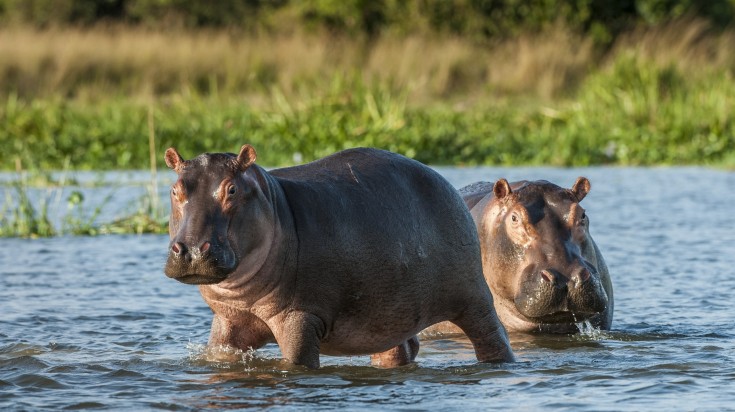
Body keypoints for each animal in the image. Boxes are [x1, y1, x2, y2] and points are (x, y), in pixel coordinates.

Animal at [164, 144, 516, 366]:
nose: (191, 250)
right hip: (388, 314)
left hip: (473, 298)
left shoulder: (300, 317)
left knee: (492, 336)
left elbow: (298, 363)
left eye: (232, 189)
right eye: (175, 189)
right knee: (399, 349)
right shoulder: (228, 320)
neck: (274, 203)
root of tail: (446, 183)